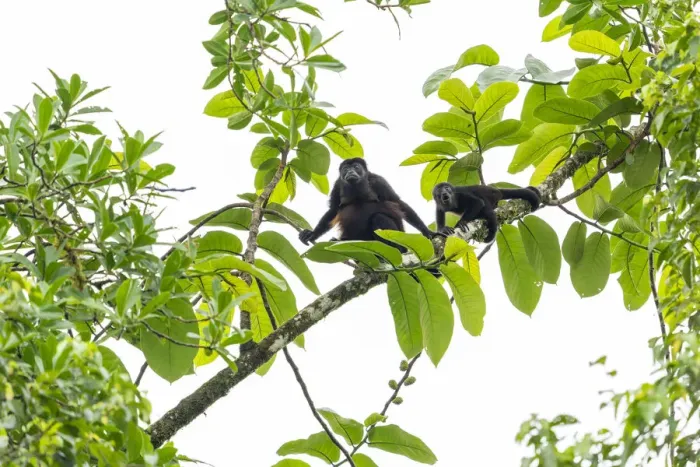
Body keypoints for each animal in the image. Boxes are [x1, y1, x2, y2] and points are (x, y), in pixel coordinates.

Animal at [299, 158, 436, 252]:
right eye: (345, 169)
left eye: (356, 167)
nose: (350, 171)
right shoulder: (337, 185)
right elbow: (333, 210)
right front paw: (312, 233)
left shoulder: (379, 181)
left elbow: (398, 203)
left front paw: (428, 232)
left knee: (379, 217)